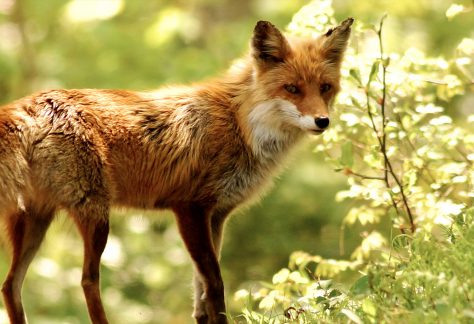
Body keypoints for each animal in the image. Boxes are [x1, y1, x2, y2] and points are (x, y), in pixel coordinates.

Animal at [0, 18, 352, 324]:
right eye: (292, 88)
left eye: (325, 88)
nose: (323, 121)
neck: (240, 123)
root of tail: (28, 105)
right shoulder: (190, 208)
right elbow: (215, 285)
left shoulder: (217, 216)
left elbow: (201, 291)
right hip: (96, 215)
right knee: (87, 280)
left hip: (35, 220)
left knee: (10, 285)